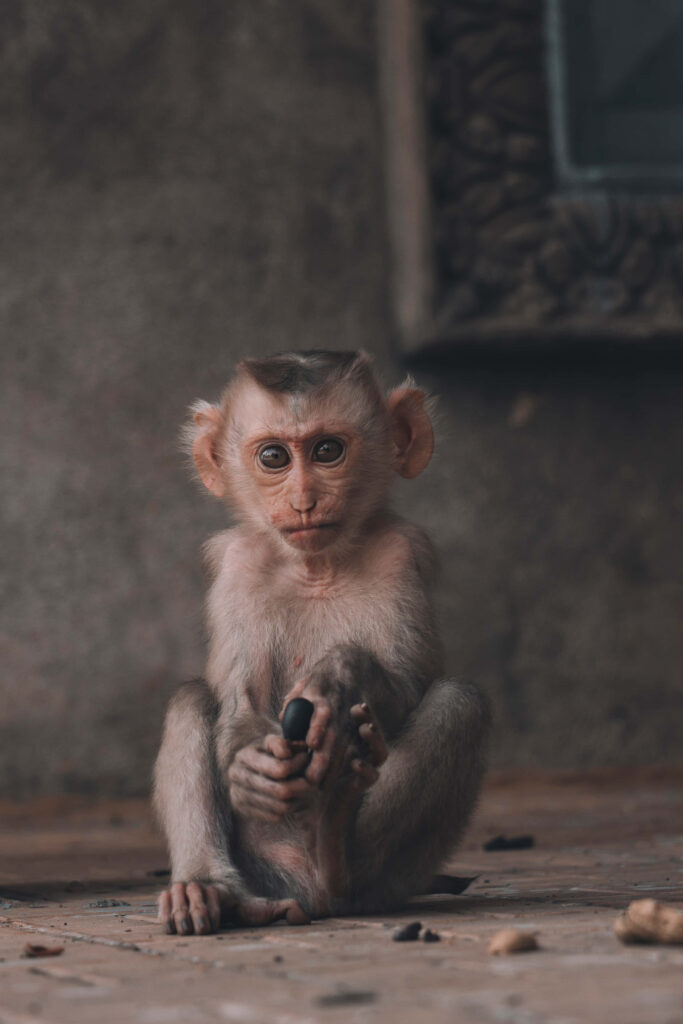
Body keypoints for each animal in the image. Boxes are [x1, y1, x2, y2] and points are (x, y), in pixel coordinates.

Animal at [153, 350, 491, 934]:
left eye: (327, 450)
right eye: (273, 457)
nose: (304, 500)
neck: (316, 567)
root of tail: (304, 893)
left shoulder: (399, 553)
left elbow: (408, 684)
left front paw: (339, 675)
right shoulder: (239, 566)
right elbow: (238, 701)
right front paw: (250, 768)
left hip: (397, 879)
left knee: (459, 703)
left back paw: (336, 846)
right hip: (261, 863)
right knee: (191, 699)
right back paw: (211, 890)